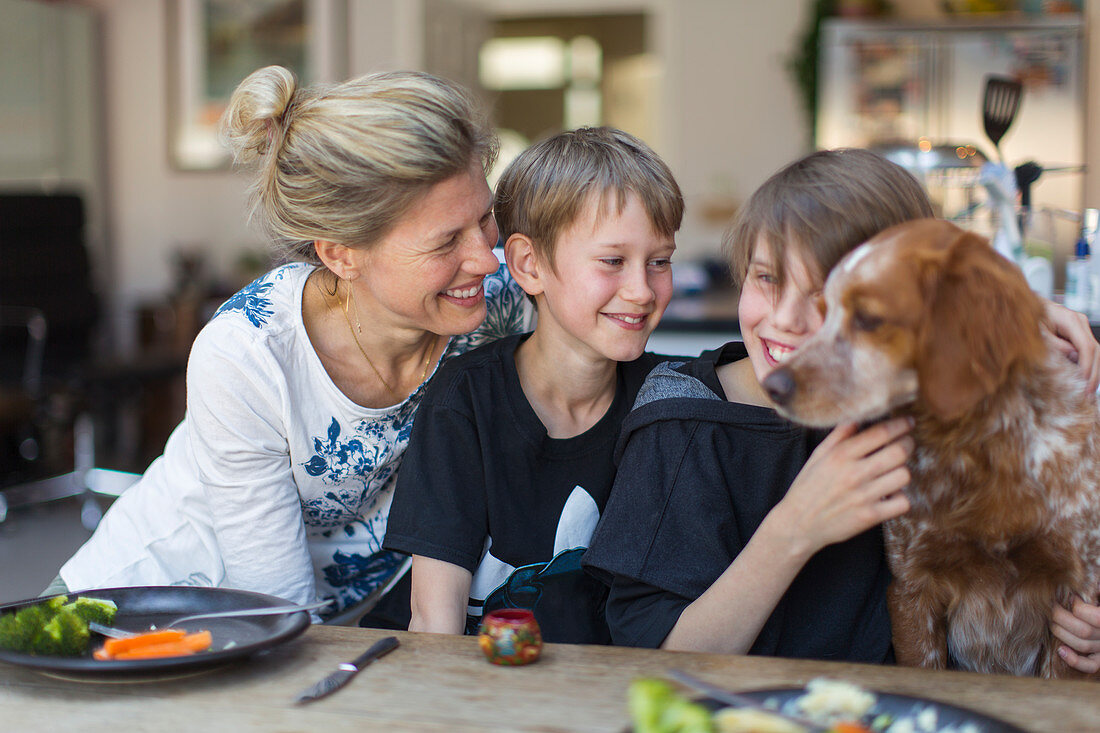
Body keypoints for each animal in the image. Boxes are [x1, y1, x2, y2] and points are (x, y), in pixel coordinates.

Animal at [765, 217, 1100, 677]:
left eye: (868, 319)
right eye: (823, 315)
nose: (773, 385)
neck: (977, 446)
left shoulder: (1075, 592)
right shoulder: (913, 587)